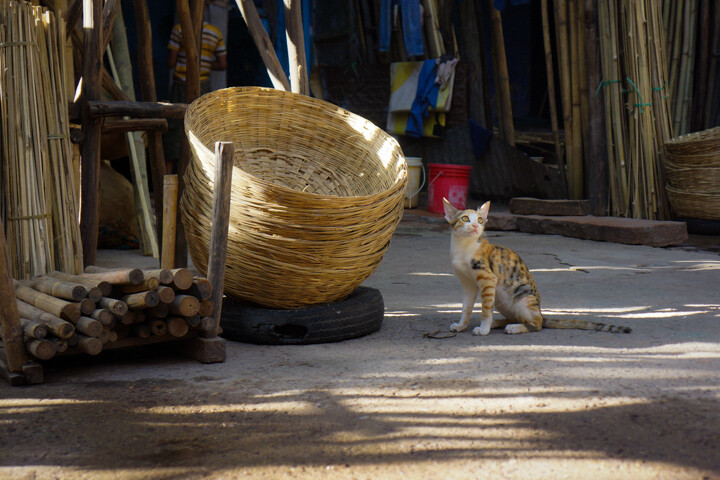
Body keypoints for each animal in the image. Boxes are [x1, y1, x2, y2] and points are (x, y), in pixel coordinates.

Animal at [442, 197, 632, 336]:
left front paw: (483, 329)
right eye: (465, 218)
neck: (463, 248)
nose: (475, 225)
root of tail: (540, 311)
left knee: (537, 324)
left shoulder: (488, 279)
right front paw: (461, 325)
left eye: (481, 220)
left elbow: (485, 308)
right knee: (518, 318)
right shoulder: (468, 284)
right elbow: (466, 307)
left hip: (522, 295)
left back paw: (514, 327)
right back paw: (501, 323)